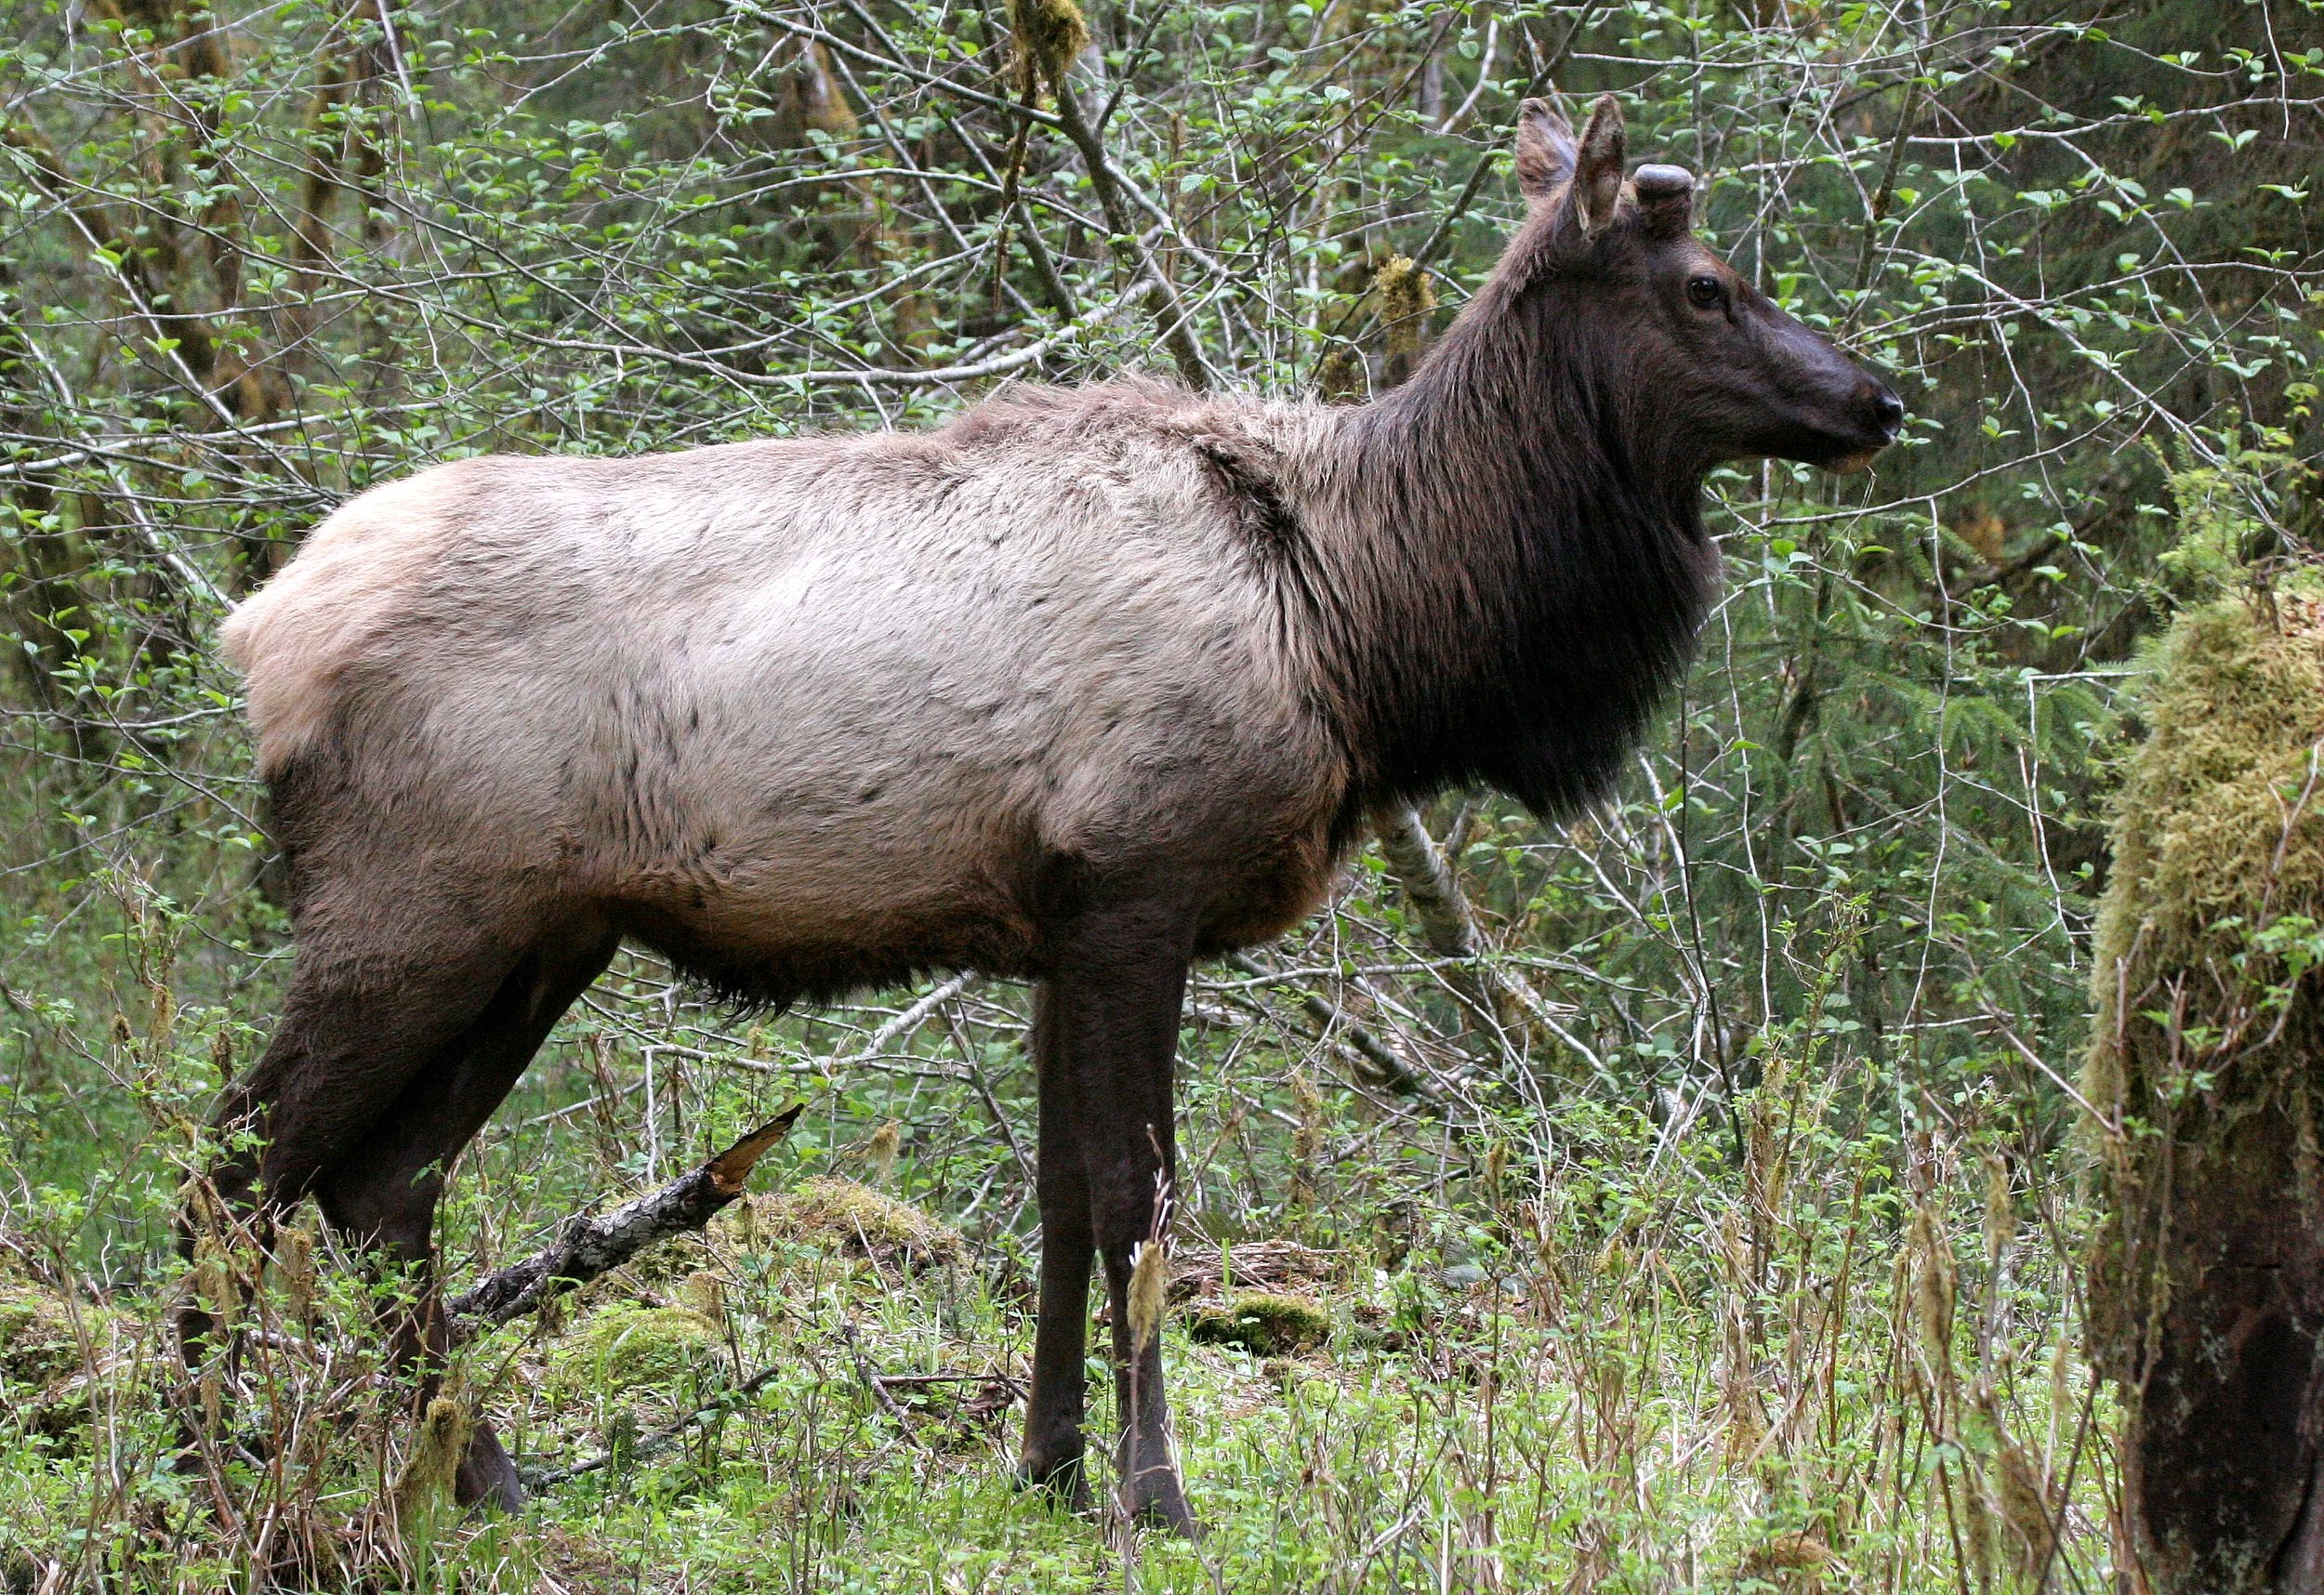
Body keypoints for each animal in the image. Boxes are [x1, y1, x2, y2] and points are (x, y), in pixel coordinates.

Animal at [188, 92, 1902, 1531]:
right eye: (1709, 287)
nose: (1877, 399)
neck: (1365, 628)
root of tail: (257, 634)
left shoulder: (1056, 922)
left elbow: (1065, 1199)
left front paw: (1053, 1466)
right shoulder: (1142, 881)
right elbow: (1144, 1199)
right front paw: (1159, 1493)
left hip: (542, 935)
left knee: (381, 1192)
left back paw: (482, 1476)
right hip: (414, 909)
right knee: (238, 1167)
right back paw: (202, 1465)